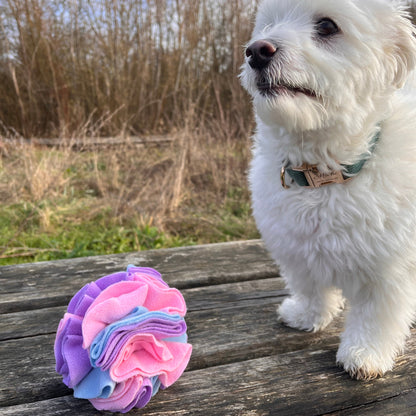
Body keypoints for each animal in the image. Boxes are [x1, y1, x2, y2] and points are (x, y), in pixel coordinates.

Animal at [240, 0, 416, 380]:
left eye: (327, 26)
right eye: (269, 25)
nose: (257, 51)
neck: (323, 174)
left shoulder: (391, 270)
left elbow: (375, 315)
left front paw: (365, 353)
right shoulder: (297, 250)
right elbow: (311, 288)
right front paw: (306, 316)